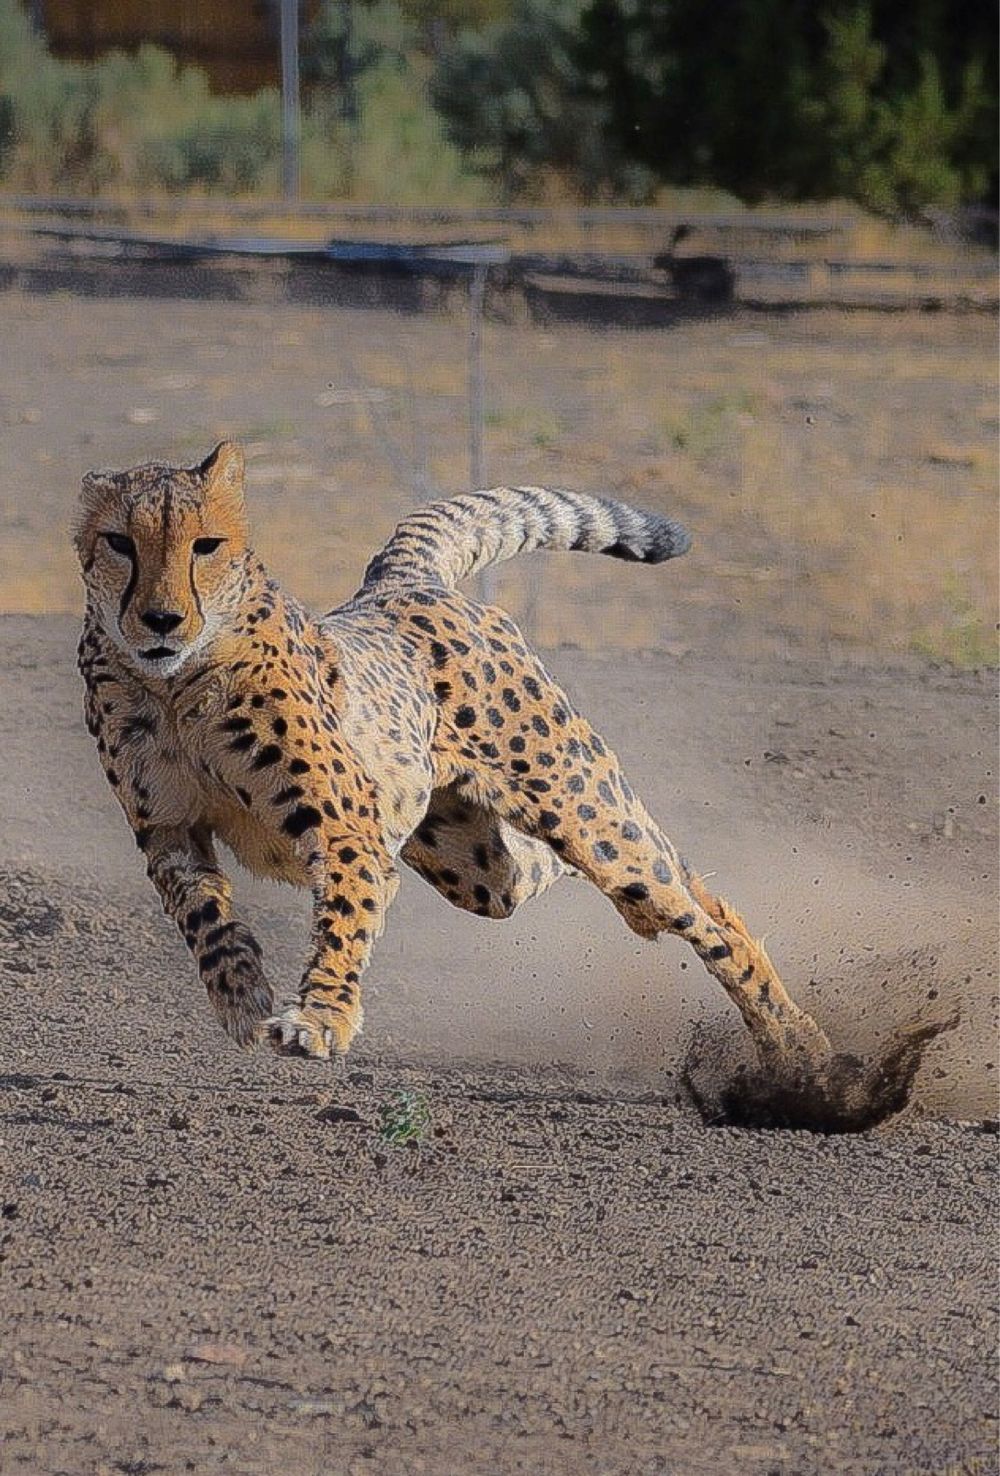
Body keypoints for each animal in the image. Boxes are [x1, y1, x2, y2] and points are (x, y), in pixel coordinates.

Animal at [75, 440, 834, 1077]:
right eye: (120, 543)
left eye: (206, 545)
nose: (163, 620)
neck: (173, 685)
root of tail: (400, 581)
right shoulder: (170, 832)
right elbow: (205, 920)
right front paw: (241, 995)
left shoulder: (344, 827)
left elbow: (343, 916)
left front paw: (321, 1017)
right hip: (477, 867)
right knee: (592, 874)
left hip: (577, 804)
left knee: (688, 903)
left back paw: (800, 1049)